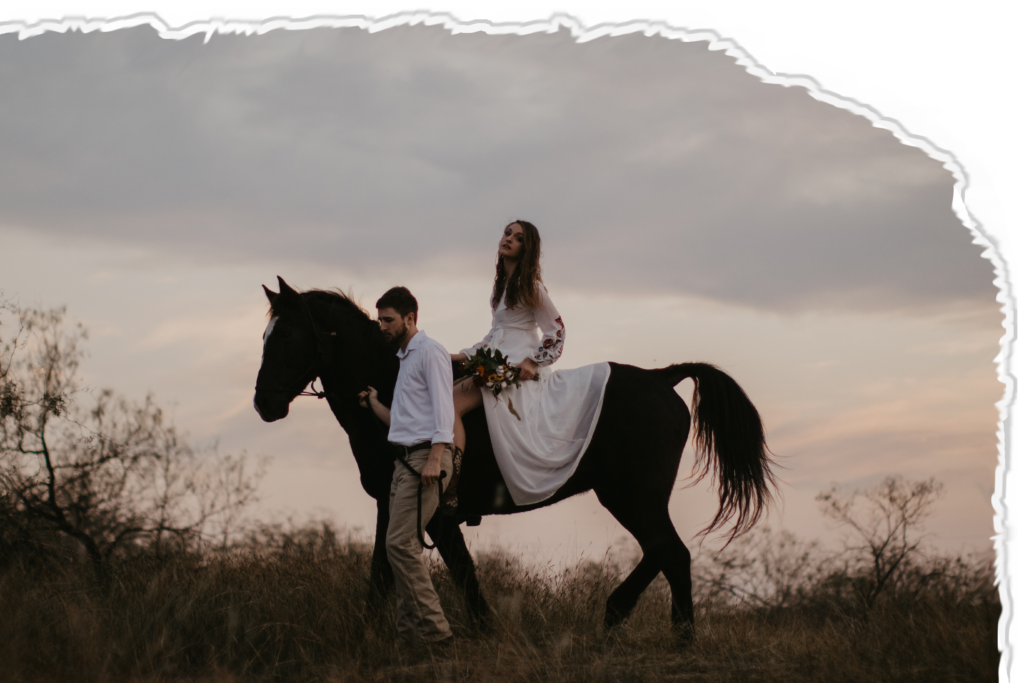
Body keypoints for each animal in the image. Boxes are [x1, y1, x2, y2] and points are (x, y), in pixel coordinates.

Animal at [253, 274, 774, 643]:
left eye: (287, 335)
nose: (262, 403)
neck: (392, 383)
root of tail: (662, 378)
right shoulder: (399, 504)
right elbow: (401, 570)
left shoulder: (426, 509)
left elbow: (441, 570)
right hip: (632, 497)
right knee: (663, 552)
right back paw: (628, 620)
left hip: (632, 496)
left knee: (671, 551)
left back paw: (667, 633)